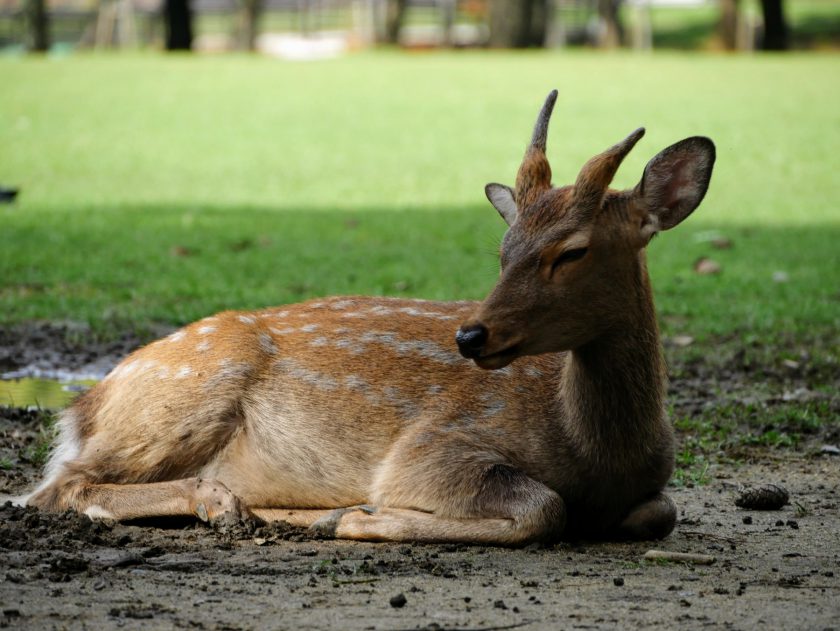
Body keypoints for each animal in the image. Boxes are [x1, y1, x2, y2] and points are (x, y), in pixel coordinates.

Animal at [18, 91, 716, 544]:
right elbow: (543, 509)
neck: (596, 453)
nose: (471, 334)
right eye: (504, 247)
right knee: (57, 487)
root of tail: (85, 406)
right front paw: (358, 517)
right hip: (184, 394)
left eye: (572, 251)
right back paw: (225, 503)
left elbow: (660, 511)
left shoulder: (649, 491)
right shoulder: (434, 446)